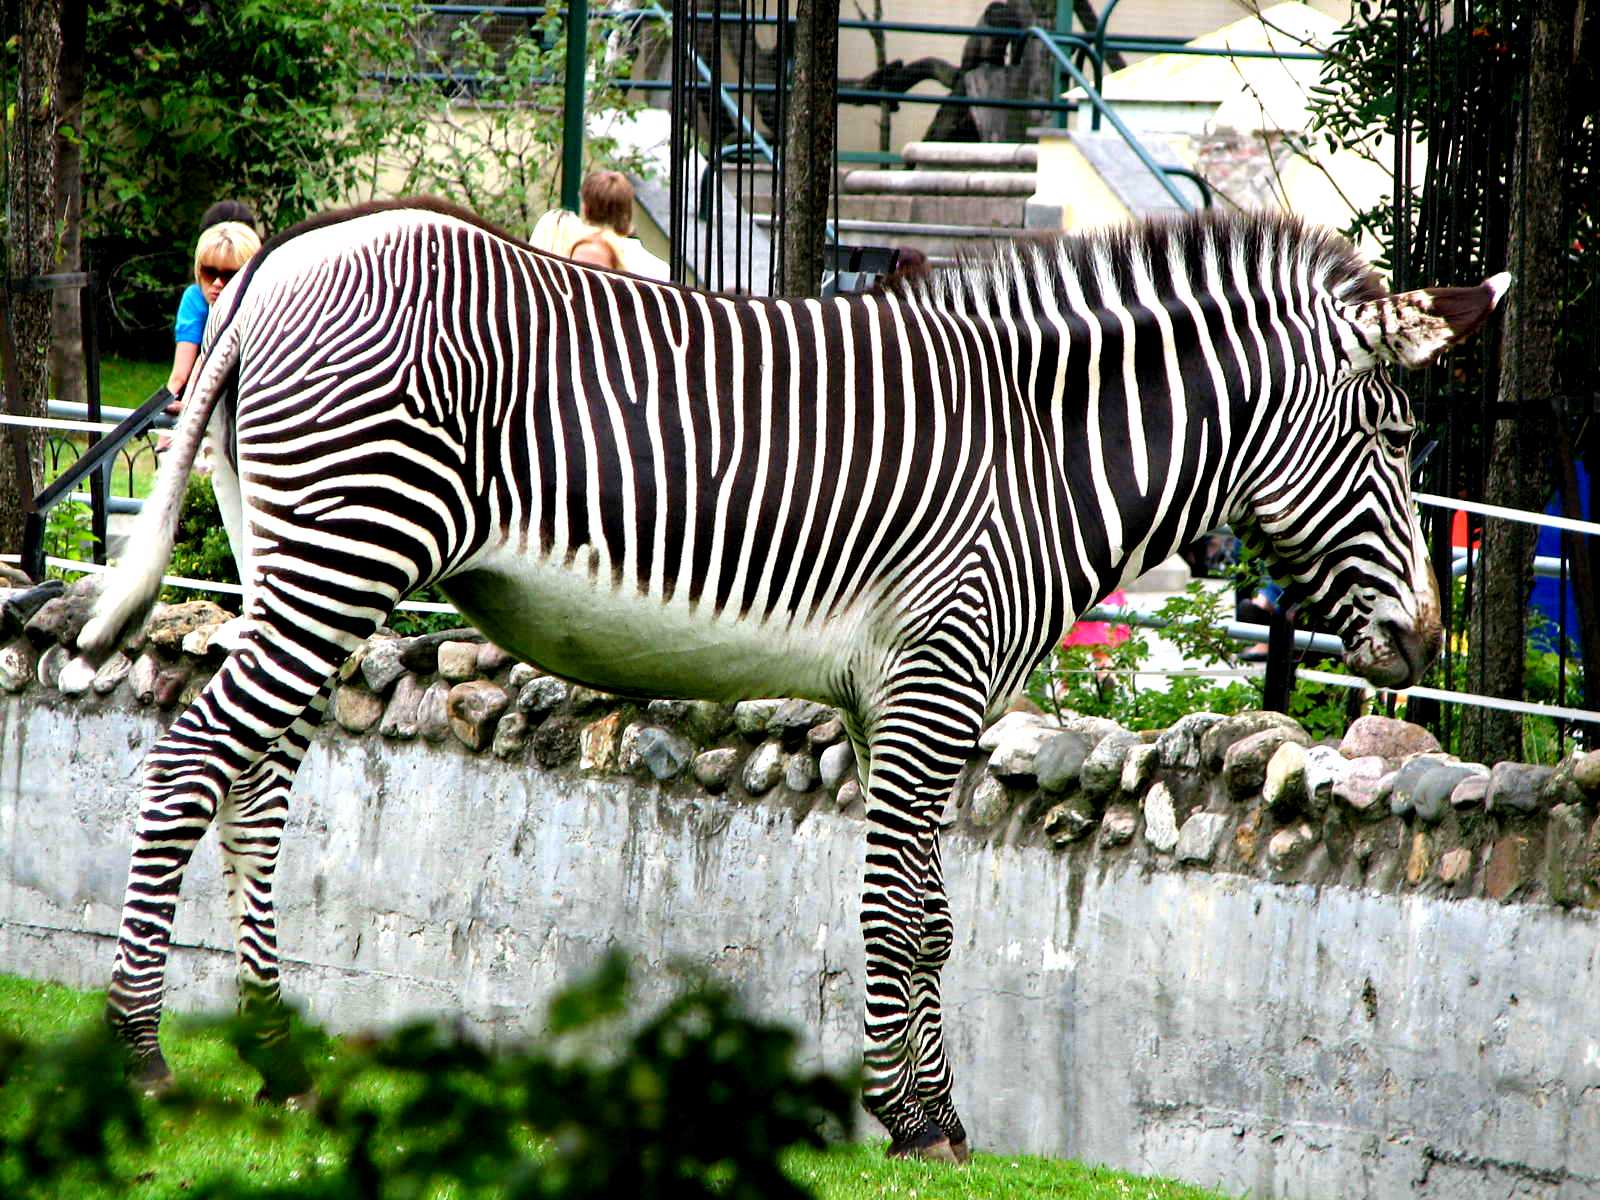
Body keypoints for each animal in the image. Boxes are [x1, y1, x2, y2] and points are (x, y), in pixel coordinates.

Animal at [72, 200, 1497, 1164]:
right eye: (1395, 438)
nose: (1426, 645)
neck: (1045, 450)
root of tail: (276, 262)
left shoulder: (908, 698)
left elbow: (932, 916)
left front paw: (933, 1112)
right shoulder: (935, 677)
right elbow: (897, 913)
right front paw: (905, 1120)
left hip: (292, 558)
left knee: (255, 788)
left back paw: (272, 1051)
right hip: (347, 546)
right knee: (190, 761)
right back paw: (140, 1055)